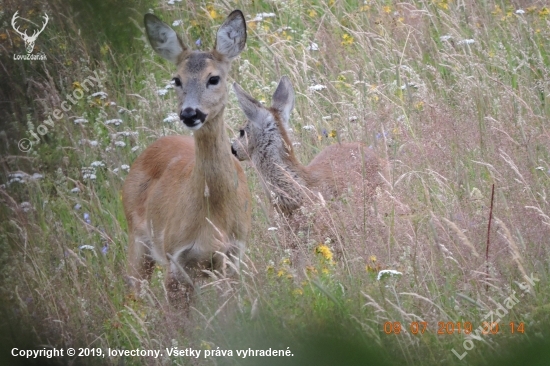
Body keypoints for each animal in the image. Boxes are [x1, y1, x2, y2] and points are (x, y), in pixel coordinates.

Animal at [123, 10, 252, 306]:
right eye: (177, 80)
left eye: (213, 78)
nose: (189, 113)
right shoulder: (176, 256)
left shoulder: (233, 255)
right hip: (138, 239)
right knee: (134, 292)